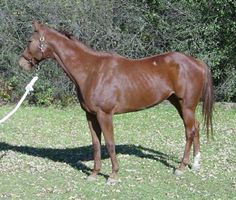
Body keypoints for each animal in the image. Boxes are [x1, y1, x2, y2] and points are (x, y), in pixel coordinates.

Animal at [18, 21, 214, 184]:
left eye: (29, 40)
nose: (21, 63)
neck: (91, 71)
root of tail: (197, 62)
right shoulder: (90, 116)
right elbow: (96, 145)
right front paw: (94, 174)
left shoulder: (105, 115)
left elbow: (110, 143)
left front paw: (113, 176)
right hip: (179, 104)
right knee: (195, 127)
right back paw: (196, 163)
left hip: (186, 105)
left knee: (189, 132)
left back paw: (181, 167)